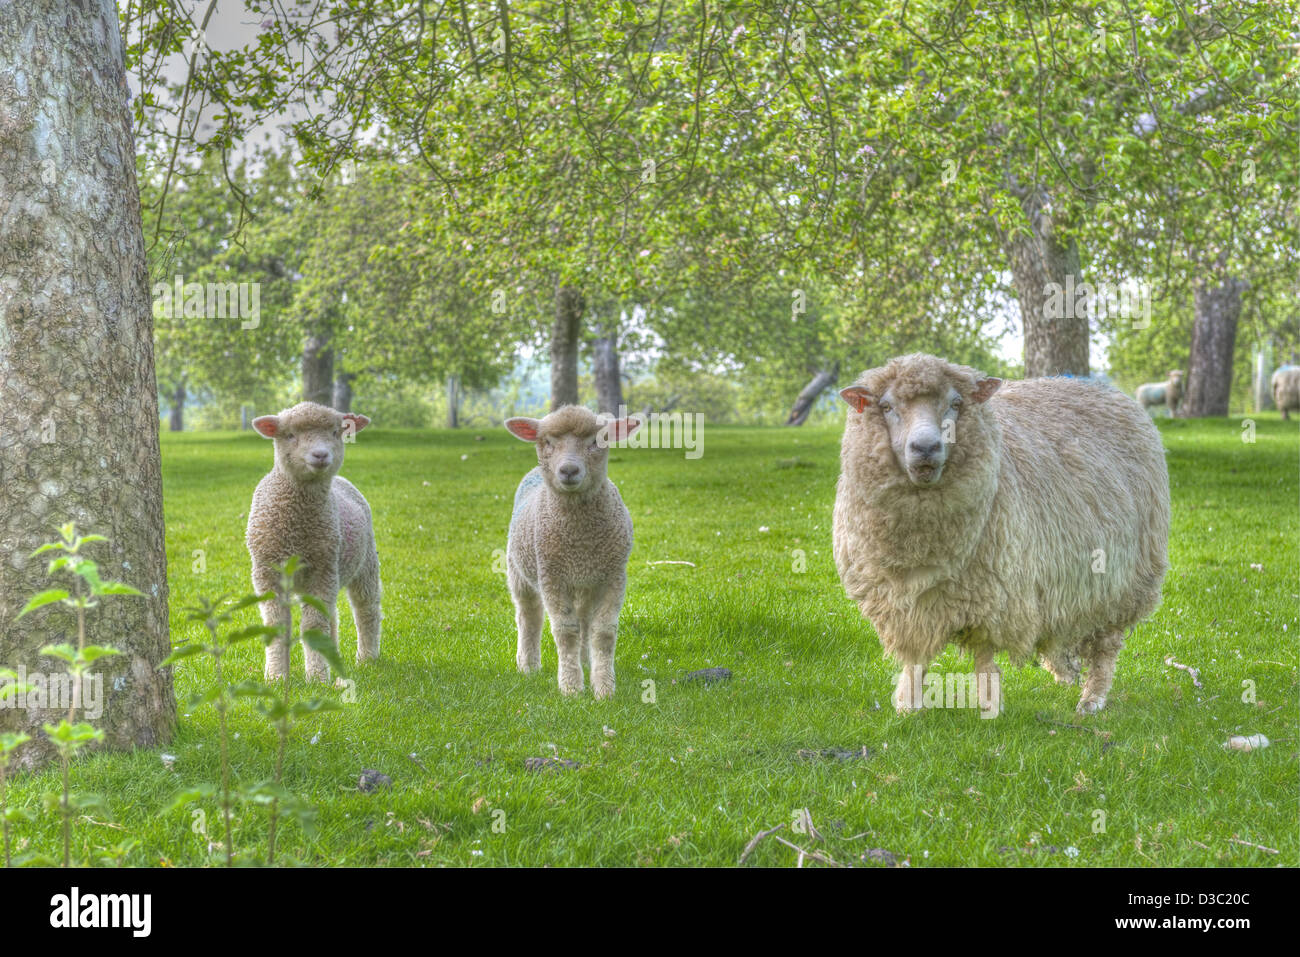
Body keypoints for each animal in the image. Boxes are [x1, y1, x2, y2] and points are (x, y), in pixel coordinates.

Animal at [245, 403, 379, 681]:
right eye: (289, 435)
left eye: (335, 432)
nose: (320, 455)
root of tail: (342, 480)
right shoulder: (266, 572)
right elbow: (277, 624)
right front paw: (276, 677)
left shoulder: (322, 569)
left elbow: (314, 624)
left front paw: (316, 678)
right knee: (334, 618)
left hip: (366, 561)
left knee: (366, 608)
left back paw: (367, 658)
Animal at [501, 403, 639, 696]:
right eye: (547, 442)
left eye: (598, 441)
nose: (568, 470)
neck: (580, 540)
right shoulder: (552, 575)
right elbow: (565, 631)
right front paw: (572, 687)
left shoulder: (614, 575)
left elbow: (603, 631)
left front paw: (604, 688)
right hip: (519, 572)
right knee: (528, 616)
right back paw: (528, 665)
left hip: (585, 584)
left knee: (584, 620)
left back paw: (585, 661)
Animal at [837, 356, 1175, 717]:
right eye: (886, 406)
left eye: (956, 403)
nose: (925, 448)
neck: (922, 545)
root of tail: (1105, 390)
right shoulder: (904, 604)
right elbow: (915, 656)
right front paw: (907, 705)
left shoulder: (992, 593)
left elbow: (984, 656)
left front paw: (989, 705)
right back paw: (1065, 672)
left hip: (1124, 582)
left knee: (1106, 645)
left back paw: (1092, 697)